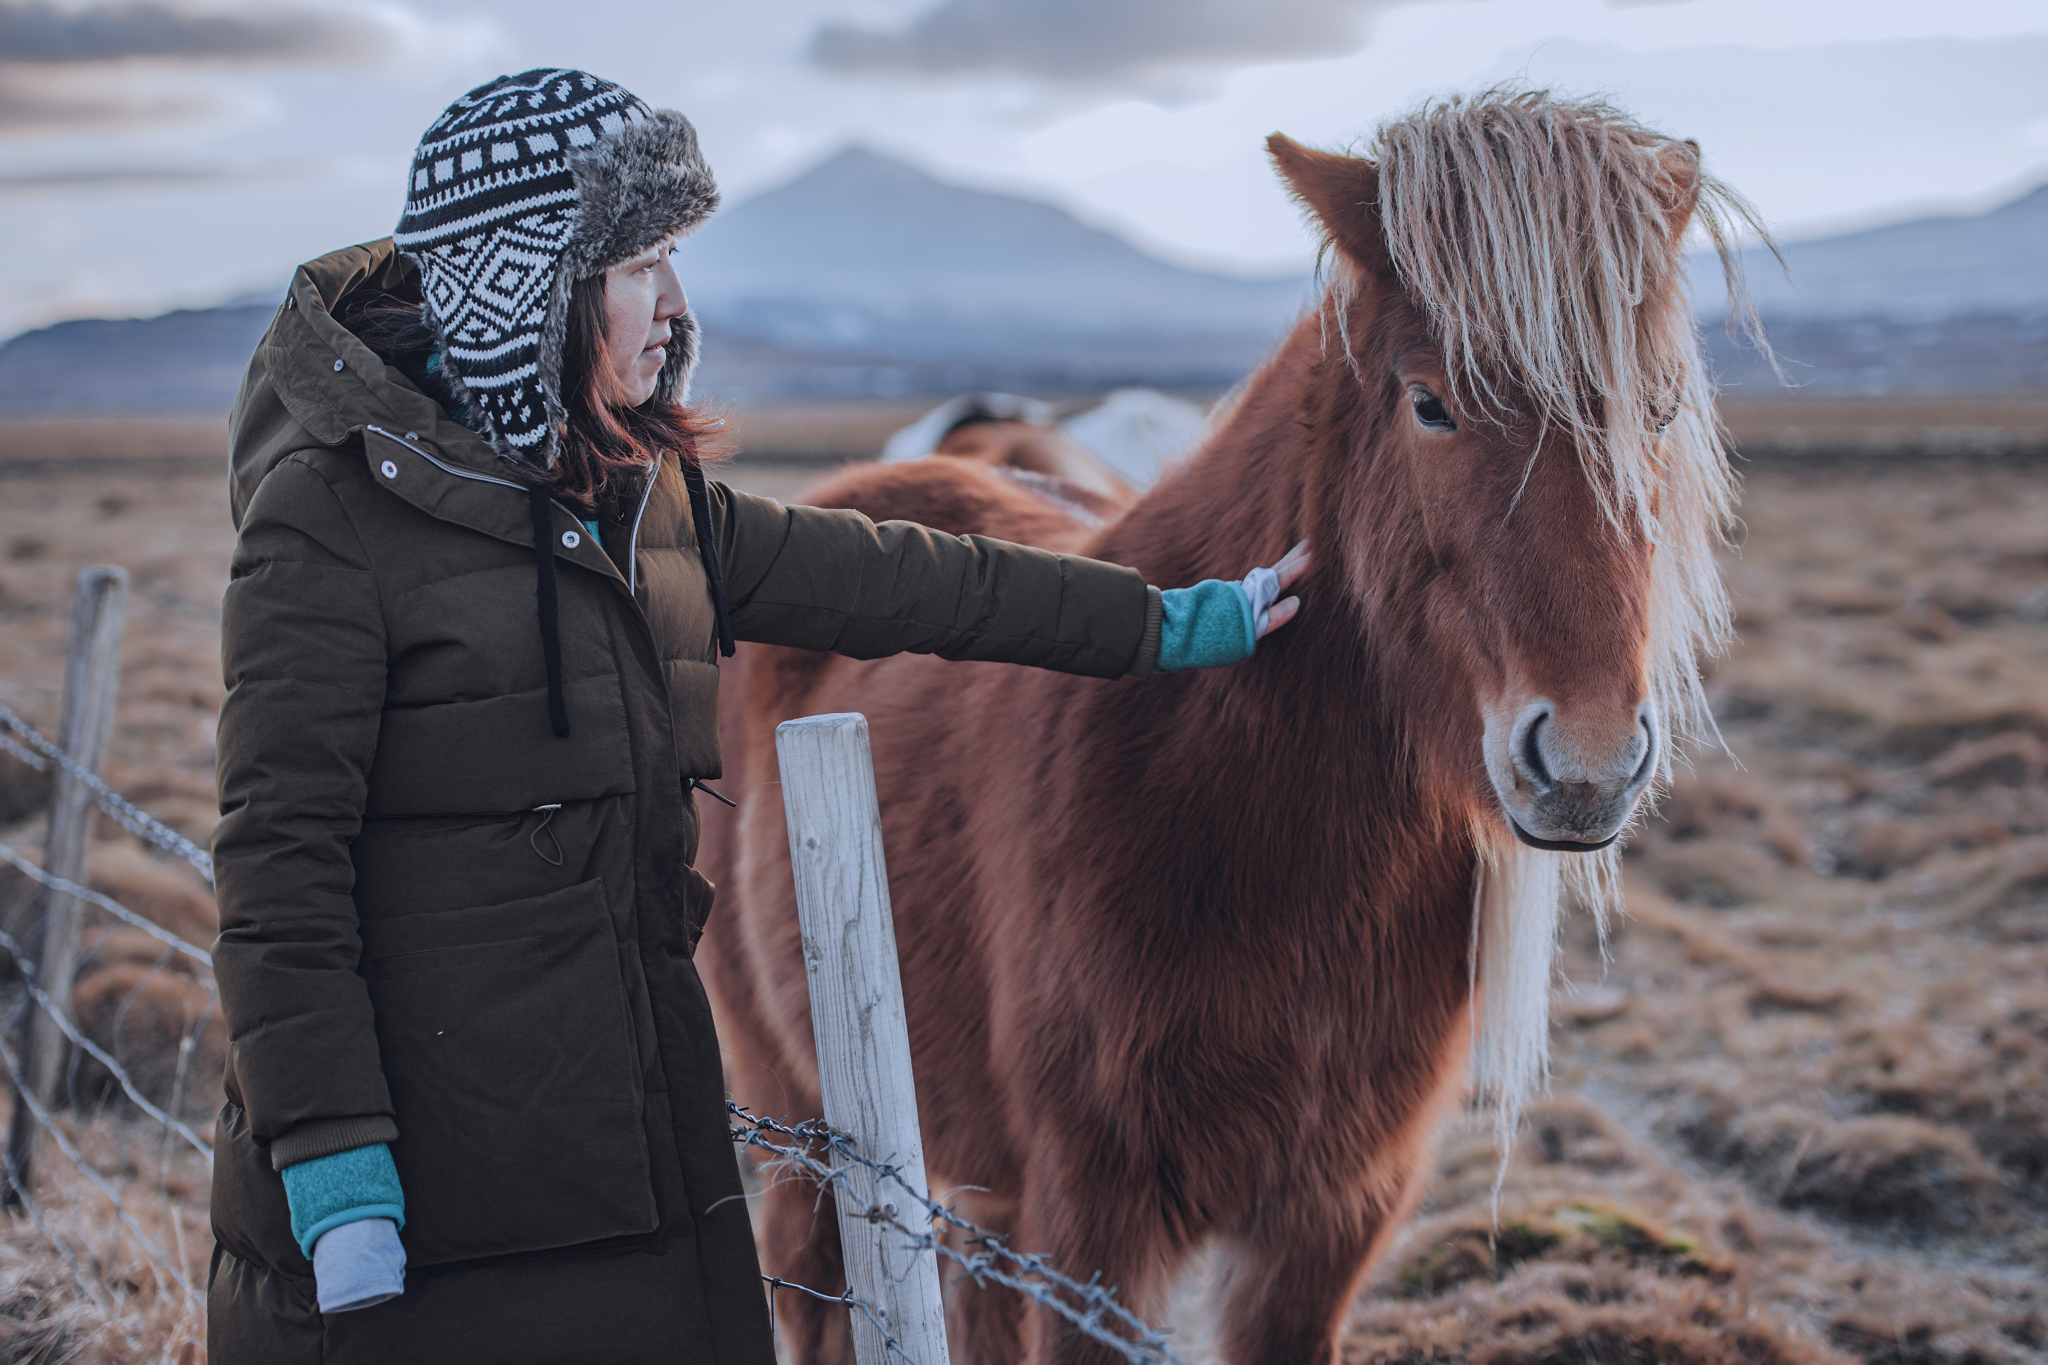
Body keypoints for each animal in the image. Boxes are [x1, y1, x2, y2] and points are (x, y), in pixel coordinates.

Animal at [700, 90, 1761, 1358]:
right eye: (1430, 404)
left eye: (1656, 412)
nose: (1589, 765)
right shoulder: (1090, 1231)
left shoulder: (1327, 1223)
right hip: (798, 1113)